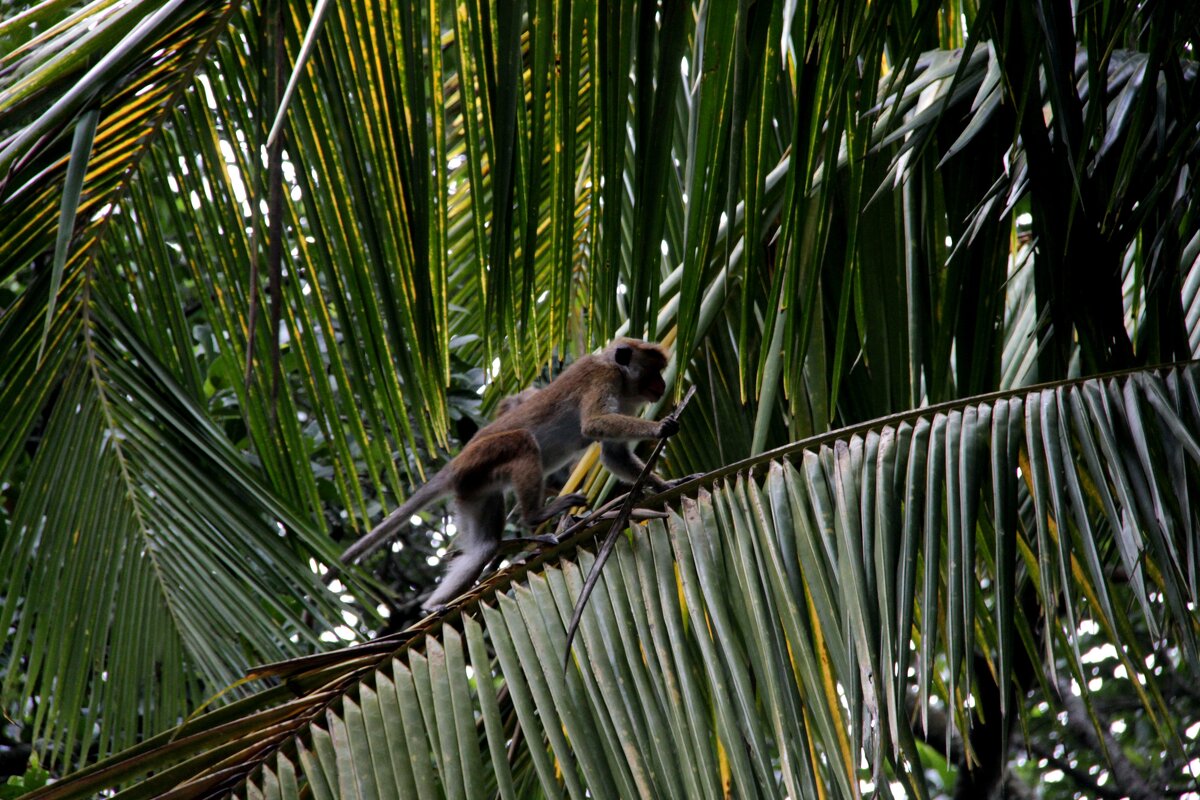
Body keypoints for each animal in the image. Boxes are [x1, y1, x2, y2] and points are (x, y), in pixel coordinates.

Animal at [343, 335, 691, 609]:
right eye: (653, 371)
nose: (662, 384)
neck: (618, 373)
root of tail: (453, 465)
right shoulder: (602, 377)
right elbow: (593, 424)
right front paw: (660, 428)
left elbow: (614, 454)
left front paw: (665, 485)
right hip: (481, 459)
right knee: (522, 442)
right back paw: (537, 515)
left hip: (473, 490)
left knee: (482, 548)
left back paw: (433, 606)